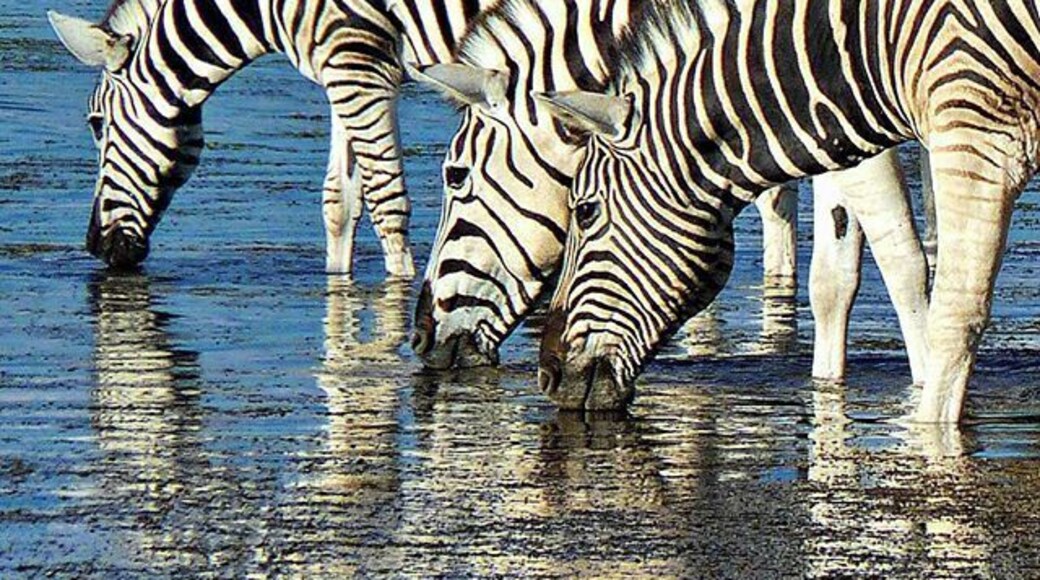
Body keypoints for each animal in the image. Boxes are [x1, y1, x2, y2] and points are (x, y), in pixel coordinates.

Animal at [47, 0, 500, 275]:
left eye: (96, 123)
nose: (94, 246)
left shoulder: (358, 64)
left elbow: (386, 204)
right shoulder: (342, 72)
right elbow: (339, 203)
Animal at [534, 0, 1038, 422]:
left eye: (585, 212)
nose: (546, 376)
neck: (864, 47)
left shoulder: (978, 139)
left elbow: (951, 316)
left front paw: (929, 437)